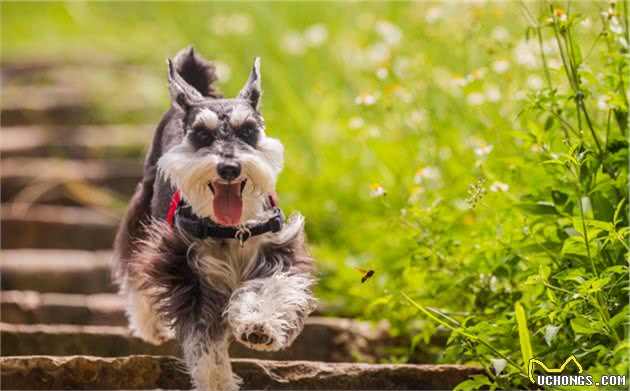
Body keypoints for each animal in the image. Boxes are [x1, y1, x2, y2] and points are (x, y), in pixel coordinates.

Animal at [113, 46, 318, 391]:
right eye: (201, 135)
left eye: (248, 130)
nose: (229, 168)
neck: (231, 229)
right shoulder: (186, 272)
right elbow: (204, 340)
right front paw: (217, 381)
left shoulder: (278, 250)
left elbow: (268, 288)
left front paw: (259, 325)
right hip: (142, 213)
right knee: (134, 268)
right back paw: (150, 325)